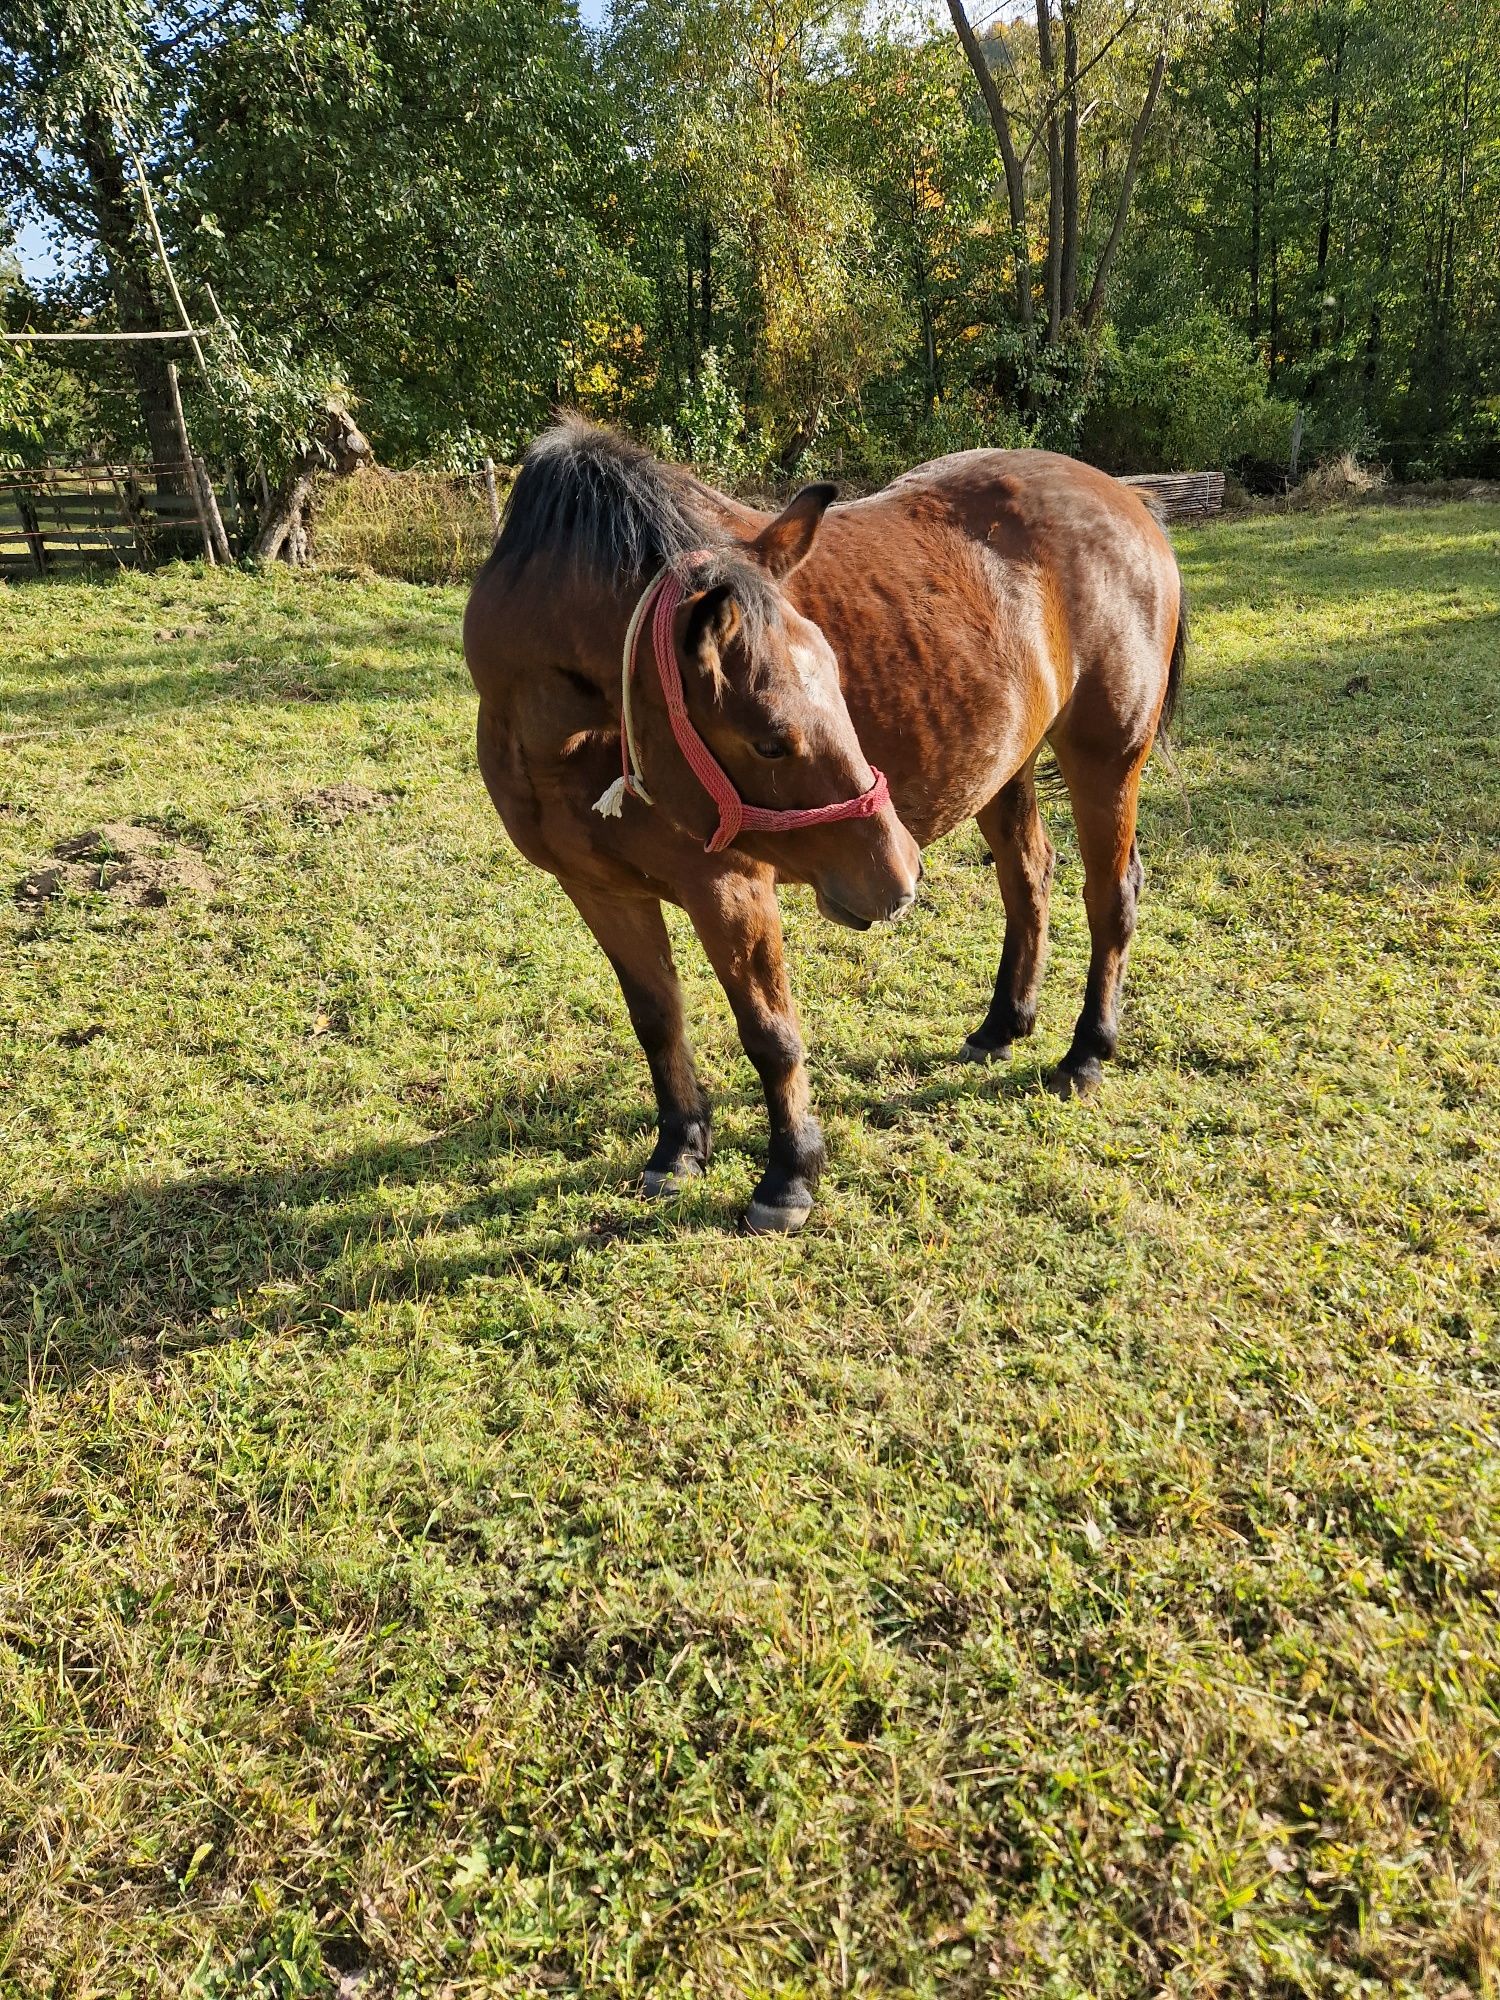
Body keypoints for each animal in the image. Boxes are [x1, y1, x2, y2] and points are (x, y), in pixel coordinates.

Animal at [464, 422, 1192, 1232]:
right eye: (769, 741)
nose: (898, 873)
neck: (567, 742)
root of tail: (1126, 500)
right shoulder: (601, 891)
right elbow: (656, 1018)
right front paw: (679, 1149)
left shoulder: (730, 888)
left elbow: (771, 1036)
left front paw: (788, 1176)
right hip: (1009, 765)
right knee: (1028, 877)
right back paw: (1003, 1025)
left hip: (1107, 759)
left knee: (1110, 898)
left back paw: (1086, 1053)